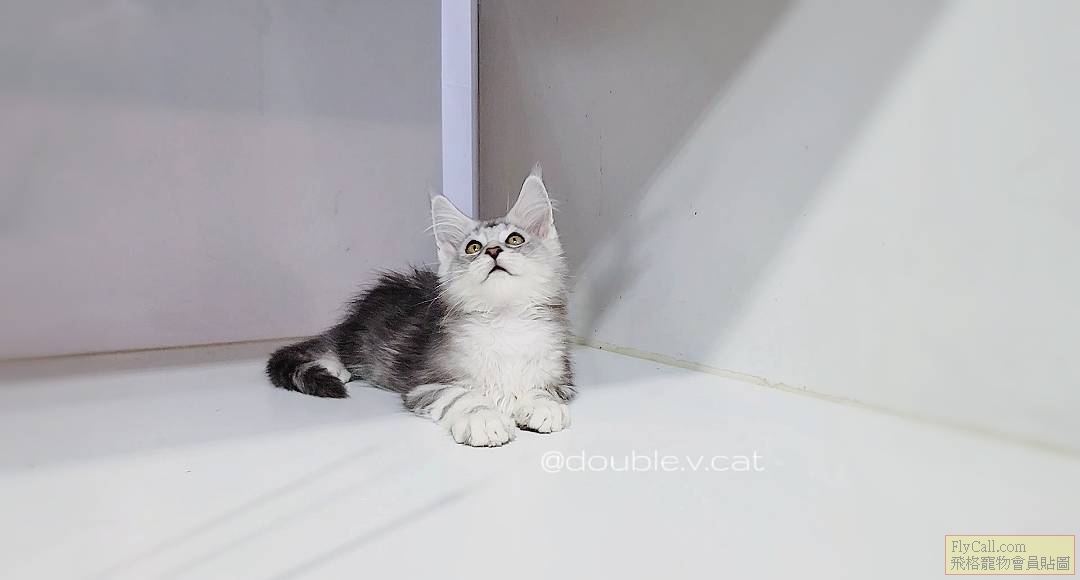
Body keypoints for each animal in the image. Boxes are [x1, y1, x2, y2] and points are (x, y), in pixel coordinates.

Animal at [267, 166, 574, 447]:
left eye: (514, 239)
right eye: (473, 247)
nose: (493, 251)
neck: (504, 318)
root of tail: (354, 317)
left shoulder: (561, 377)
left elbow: (542, 389)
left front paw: (541, 404)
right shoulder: (427, 382)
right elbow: (461, 396)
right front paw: (482, 419)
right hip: (357, 344)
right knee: (331, 349)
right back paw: (336, 369)